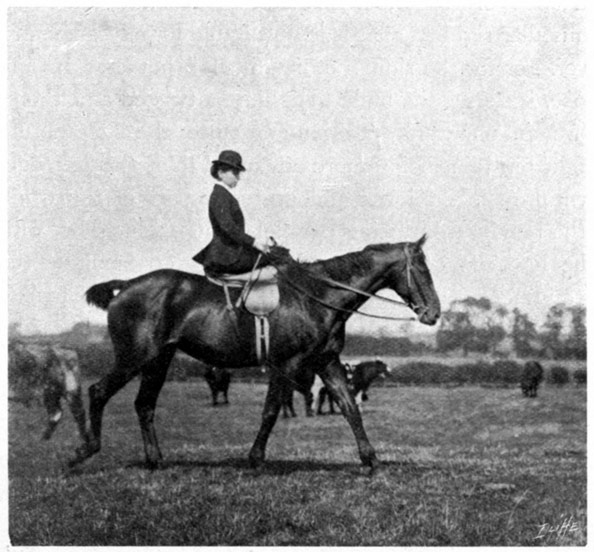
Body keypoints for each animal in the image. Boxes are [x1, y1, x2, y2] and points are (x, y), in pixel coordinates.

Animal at [71, 235, 440, 472]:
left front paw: (371, 459)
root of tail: (126, 285)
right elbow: (271, 411)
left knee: (144, 405)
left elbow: (350, 408)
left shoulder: (327, 362)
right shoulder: (285, 364)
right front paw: (256, 458)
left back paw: (154, 460)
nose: (433, 314)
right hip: (135, 357)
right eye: (422, 269)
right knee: (99, 391)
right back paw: (84, 451)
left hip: (158, 361)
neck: (318, 296)